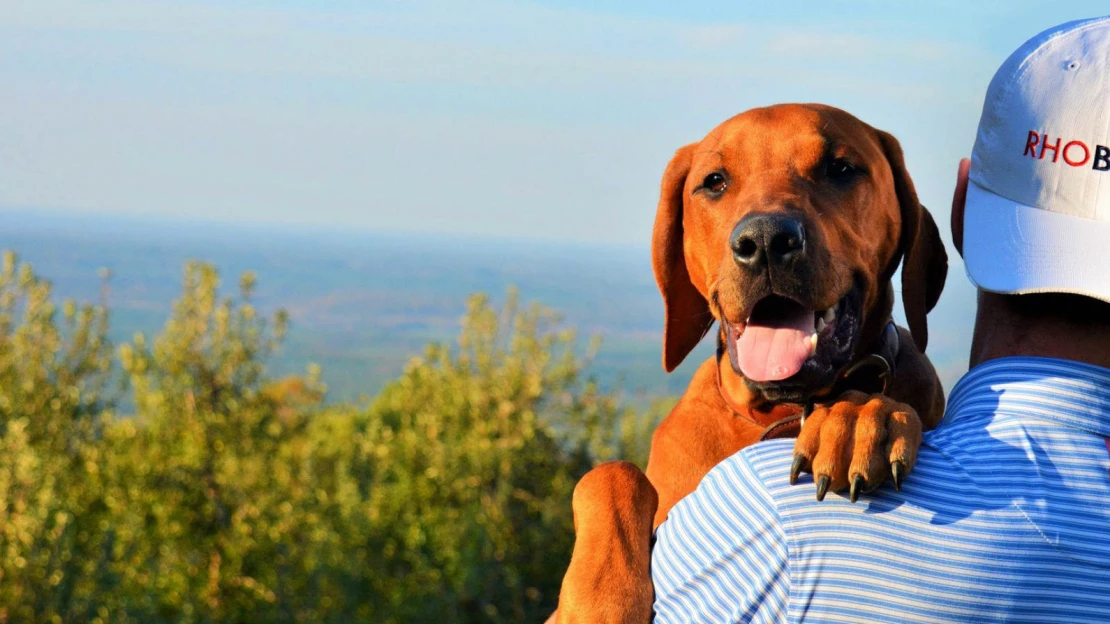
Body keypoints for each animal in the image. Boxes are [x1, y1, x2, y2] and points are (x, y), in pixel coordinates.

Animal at [550, 104, 950, 617]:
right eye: (714, 182)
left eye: (840, 168)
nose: (764, 241)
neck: (777, 411)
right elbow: (611, 473)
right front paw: (601, 595)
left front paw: (857, 414)